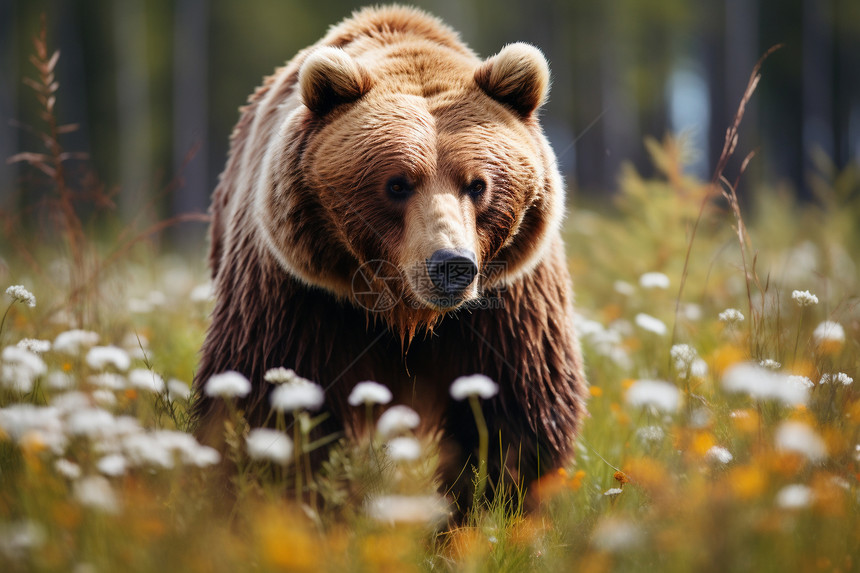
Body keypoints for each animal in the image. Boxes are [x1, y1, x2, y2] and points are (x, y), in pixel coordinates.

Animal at [192, 4, 588, 512]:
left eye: (478, 184)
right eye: (397, 184)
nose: (451, 265)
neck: (406, 315)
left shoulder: (507, 305)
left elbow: (517, 412)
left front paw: (490, 508)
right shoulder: (300, 295)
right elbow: (272, 398)